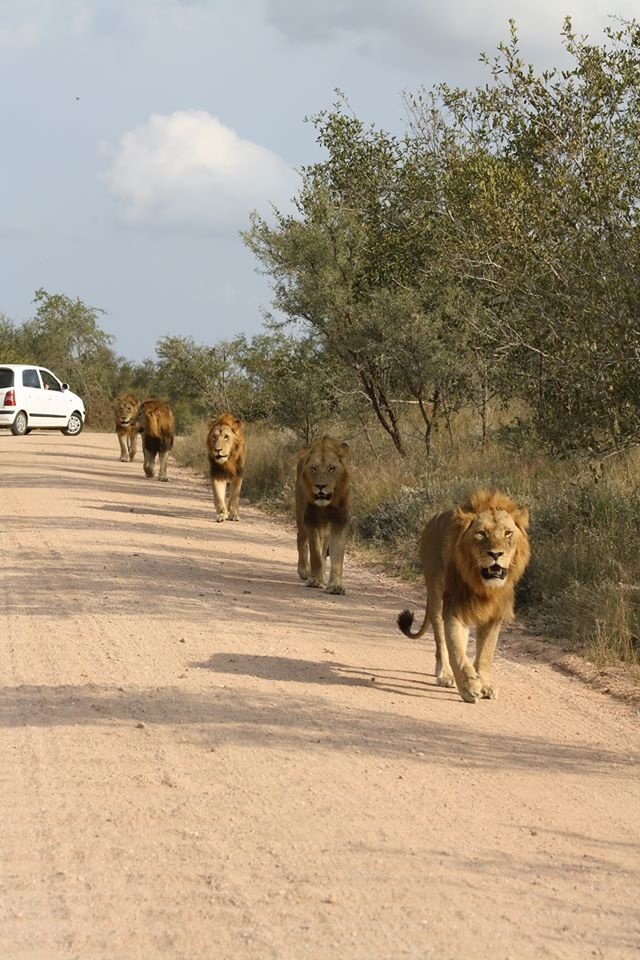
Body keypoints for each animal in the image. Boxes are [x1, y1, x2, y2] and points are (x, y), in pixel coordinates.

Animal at [296, 435, 351, 595]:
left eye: (331, 468)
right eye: (314, 468)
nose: (321, 486)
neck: (328, 504)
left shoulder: (340, 521)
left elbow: (337, 556)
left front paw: (336, 586)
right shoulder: (312, 519)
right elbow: (315, 552)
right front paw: (315, 580)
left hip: (325, 527)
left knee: (324, 545)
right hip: (301, 515)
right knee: (301, 539)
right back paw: (304, 570)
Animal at [397, 489, 530, 703]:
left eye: (507, 533)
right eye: (481, 533)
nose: (496, 554)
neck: (482, 586)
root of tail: (434, 518)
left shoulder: (494, 615)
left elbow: (486, 653)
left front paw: (484, 684)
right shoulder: (454, 607)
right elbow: (455, 649)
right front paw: (469, 687)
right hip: (435, 593)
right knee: (441, 641)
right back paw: (445, 674)